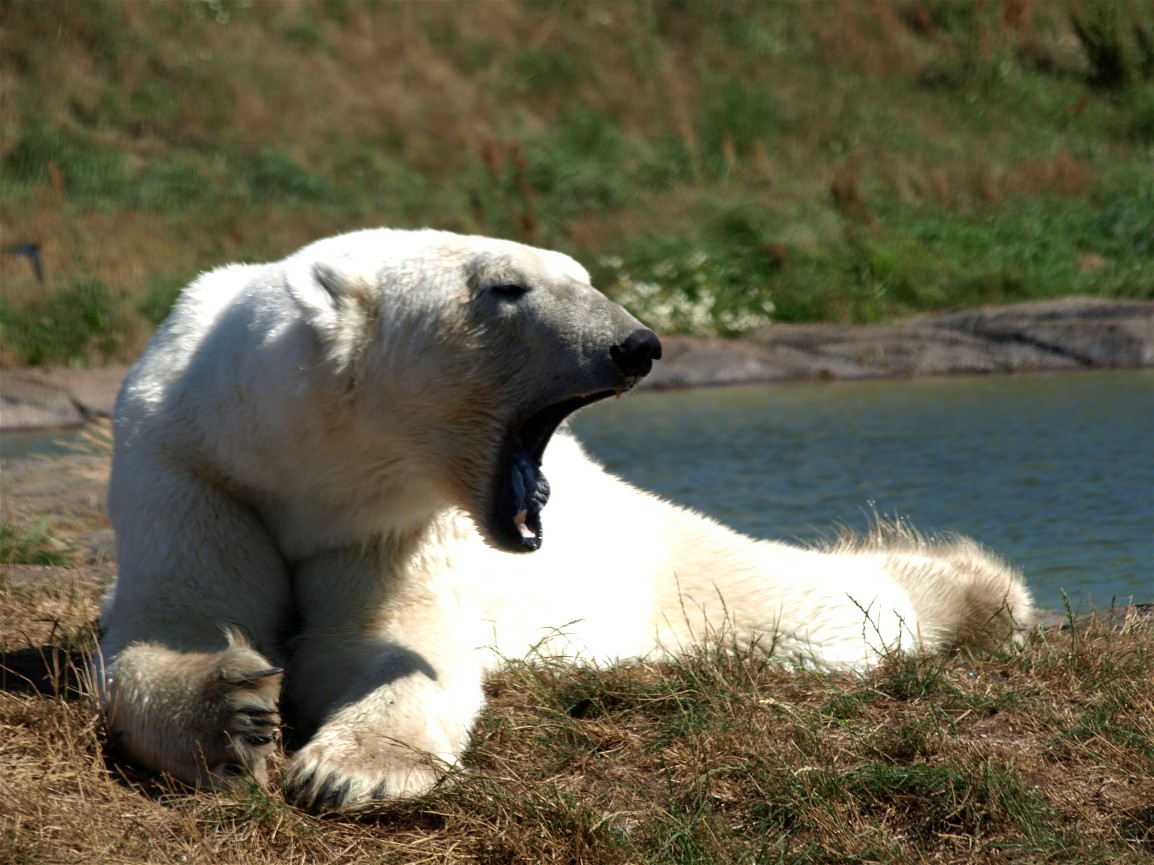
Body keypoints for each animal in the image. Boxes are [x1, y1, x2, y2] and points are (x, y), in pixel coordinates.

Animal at [91, 228, 1034, 812]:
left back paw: (977, 591)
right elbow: (174, 619)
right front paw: (235, 711)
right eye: (505, 288)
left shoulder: (396, 524)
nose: (638, 344)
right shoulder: (189, 469)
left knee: (814, 607)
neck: (302, 466)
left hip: (643, 554)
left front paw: (351, 771)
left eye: (580, 275)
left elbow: (394, 643)